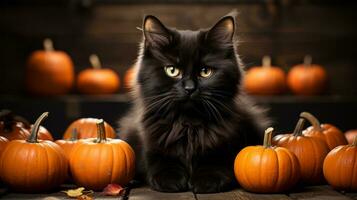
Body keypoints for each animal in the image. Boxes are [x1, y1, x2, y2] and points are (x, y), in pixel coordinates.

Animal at [118, 12, 268, 194]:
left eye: (205, 72)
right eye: (172, 70)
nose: (189, 88)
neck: (188, 125)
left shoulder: (225, 146)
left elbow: (215, 162)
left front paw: (206, 180)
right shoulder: (152, 145)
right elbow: (160, 163)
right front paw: (171, 179)